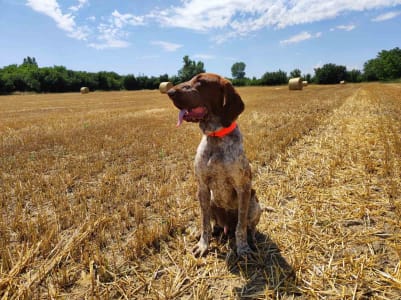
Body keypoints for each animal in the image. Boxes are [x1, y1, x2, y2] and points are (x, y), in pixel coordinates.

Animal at [165, 72, 260, 255]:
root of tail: (227, 226)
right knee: (213, 223)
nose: (170, 92)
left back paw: (251, 241)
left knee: (249, 227)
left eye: (201, 82)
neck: (216, 137)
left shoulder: (243, 188)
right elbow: (204, 222)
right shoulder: (202, 187)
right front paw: (203, 244)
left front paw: (243, 248)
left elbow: (241, 227)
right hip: (211, 202)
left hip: (255, 204)